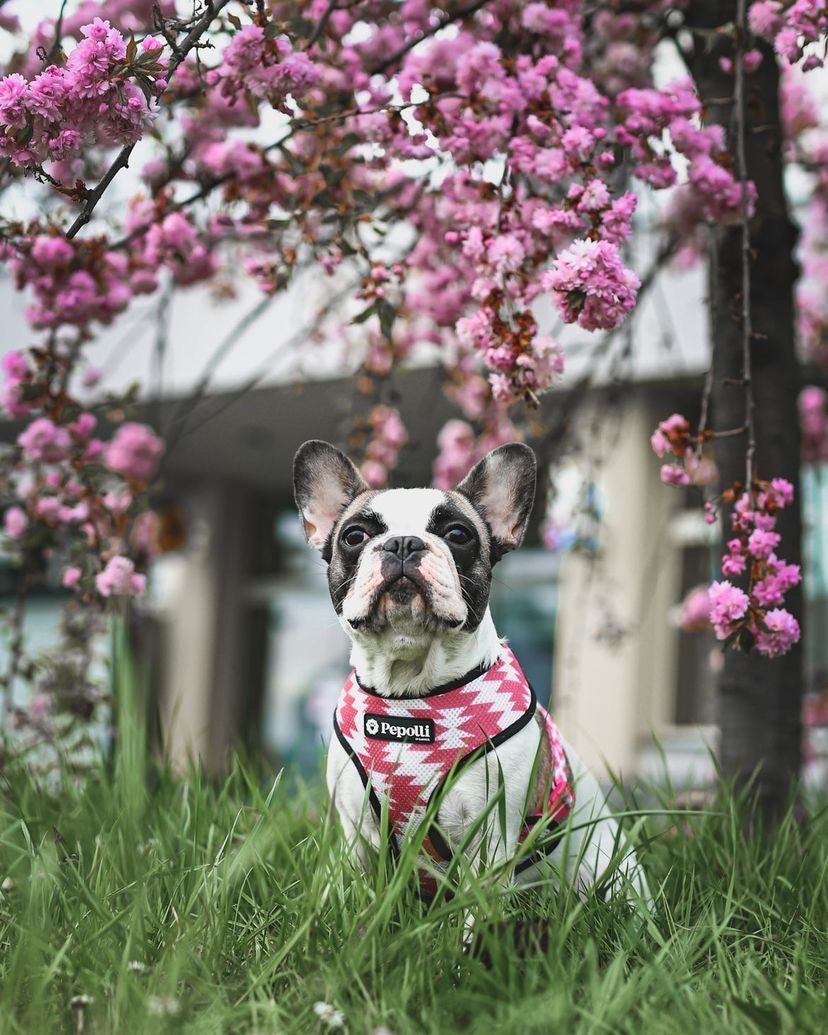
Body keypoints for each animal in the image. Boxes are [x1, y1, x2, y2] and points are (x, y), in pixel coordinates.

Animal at [293, 440, 649, 910]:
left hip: (613, 873)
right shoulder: (358, 836)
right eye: (355, 536)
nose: (403, 543)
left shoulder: (491, 837)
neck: (409, 695)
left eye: (458, 534)